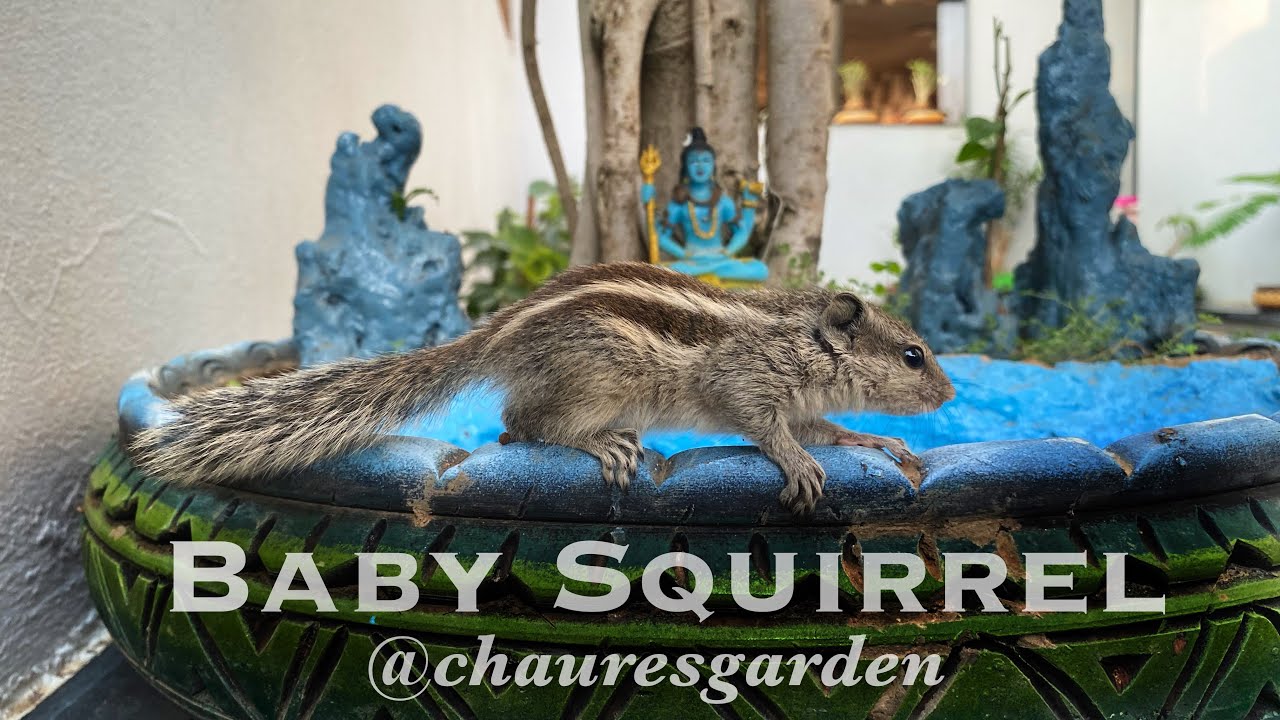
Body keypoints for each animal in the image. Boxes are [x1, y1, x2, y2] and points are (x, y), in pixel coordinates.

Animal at [130, 262, 955, 514]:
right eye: (914, 356)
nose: (947, 395)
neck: (799, 339)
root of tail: (497, 334)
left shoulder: (804, 404)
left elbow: (833, 431)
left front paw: (877, 439)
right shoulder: (747, 384)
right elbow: (769, 431)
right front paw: (798, 464)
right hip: (598, 382)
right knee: (520, 423)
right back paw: (605, 444)